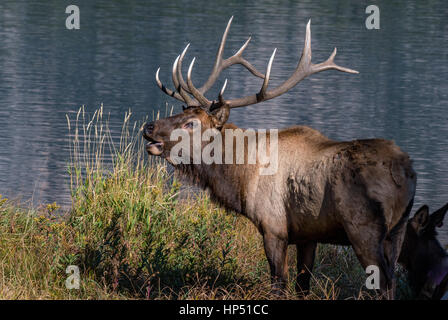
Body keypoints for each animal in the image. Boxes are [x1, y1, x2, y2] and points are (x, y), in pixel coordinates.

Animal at [144, 16, 416, 298]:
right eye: (180, 112)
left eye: (191, 123)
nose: (149, 127)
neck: (241, 176)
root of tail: (407, 172)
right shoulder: (308, 235)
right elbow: (302, 285)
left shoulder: (273, 227)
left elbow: (278, 283)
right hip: (398, 230)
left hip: (365, 229)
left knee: (384, 284)